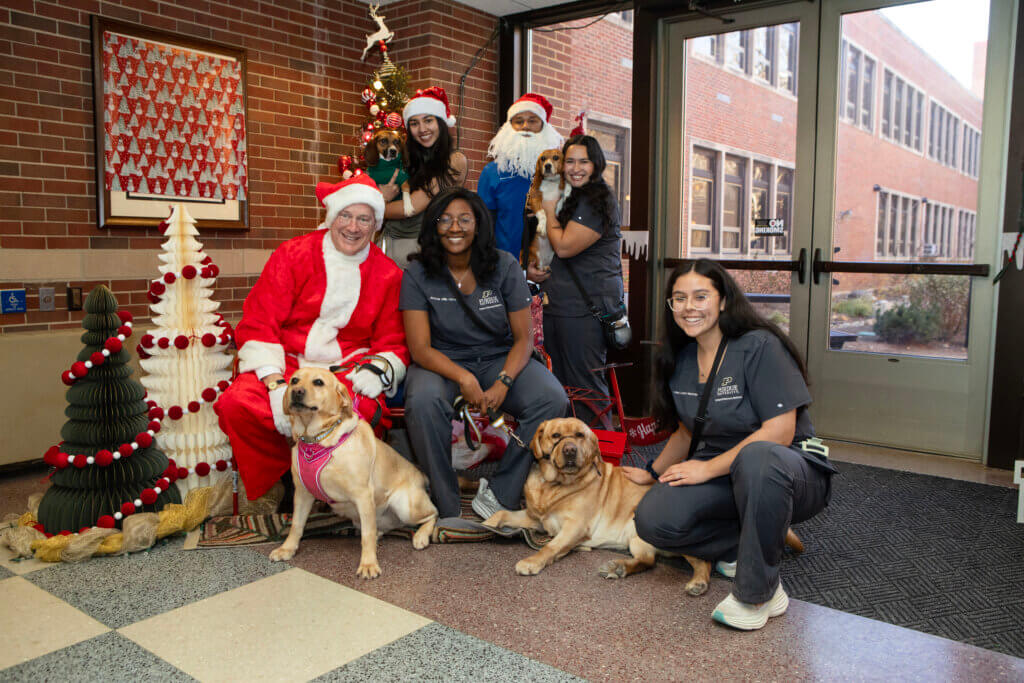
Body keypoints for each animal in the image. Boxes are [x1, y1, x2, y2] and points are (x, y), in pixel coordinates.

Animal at [268, 366, 436, 581]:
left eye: (318, 382)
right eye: (294, 380)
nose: (296, 392)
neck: (317, 440)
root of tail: (420, 475)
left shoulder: (362, 495)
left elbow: (367, 535)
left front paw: (368, 564)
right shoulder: (302, 494)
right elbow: (296, 525)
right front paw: (287, 548)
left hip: (405, 505)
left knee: (432, 514)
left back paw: (421, 536)